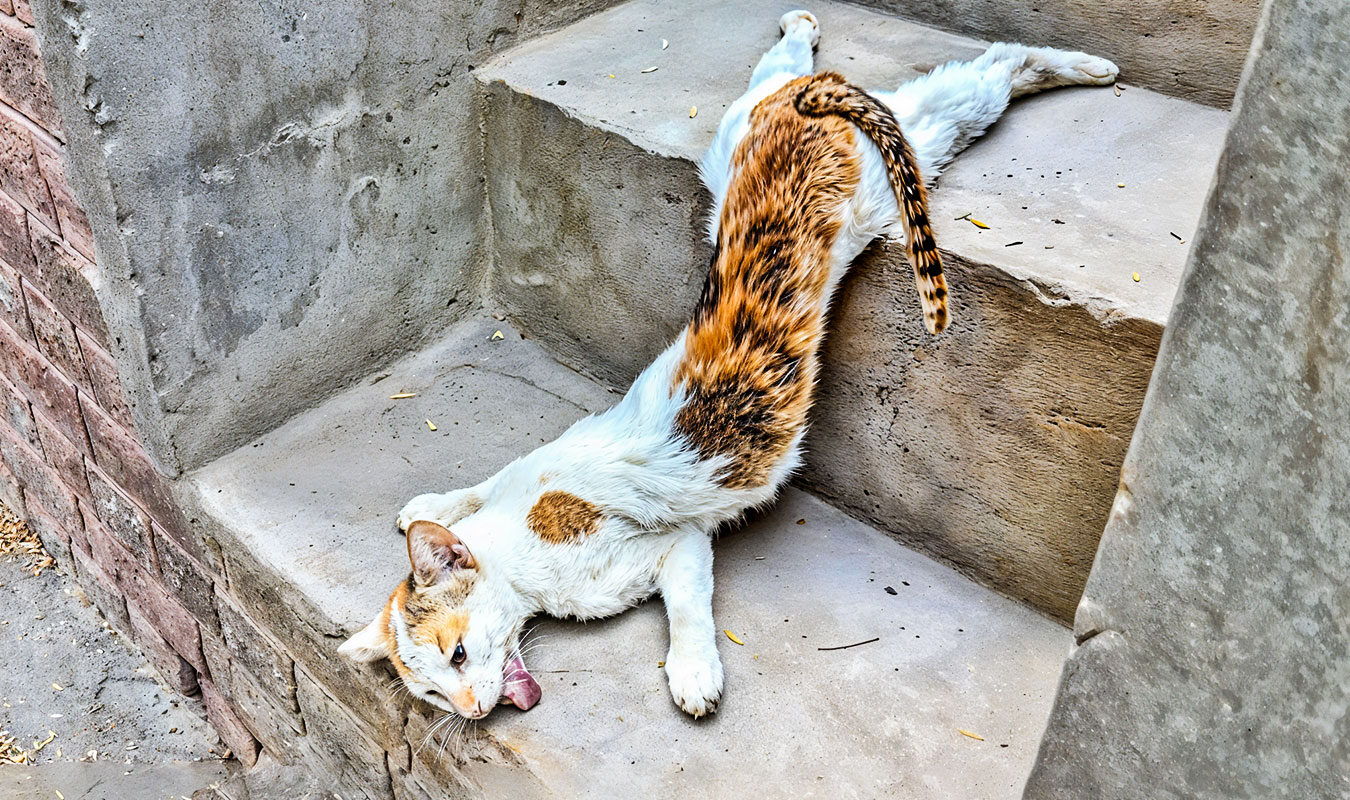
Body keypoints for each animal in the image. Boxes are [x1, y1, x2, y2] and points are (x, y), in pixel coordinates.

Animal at [340, 9, 1117, 717]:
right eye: (430, 691)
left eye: (458, 653)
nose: (471, 711)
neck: (517, 542)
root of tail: (804, 103)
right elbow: (476, 485)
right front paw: (434, 505)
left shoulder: (673, 547)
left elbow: (686, 609)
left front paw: (693, 674)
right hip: (814, 142)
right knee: (858, 75)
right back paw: (805, 25)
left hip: (862, 151)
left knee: (989, 65)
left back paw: (1090, 66)